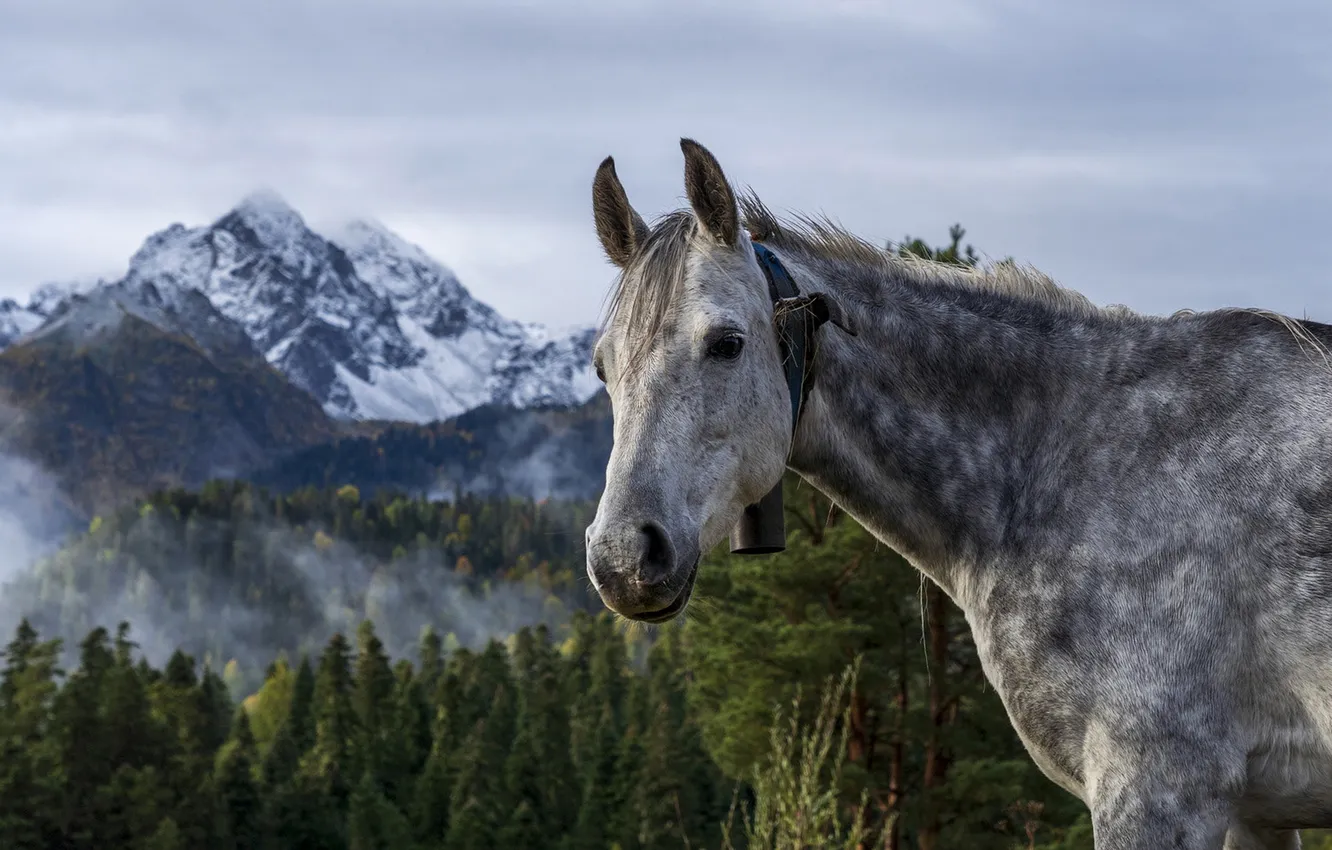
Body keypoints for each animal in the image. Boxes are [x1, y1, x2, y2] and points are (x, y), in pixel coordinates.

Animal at [582, 138, 1332, 848]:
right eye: (602, 365)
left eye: (727, 343)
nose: (622, 558)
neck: (1070, 452)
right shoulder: (1254, 815)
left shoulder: (1159, 787)